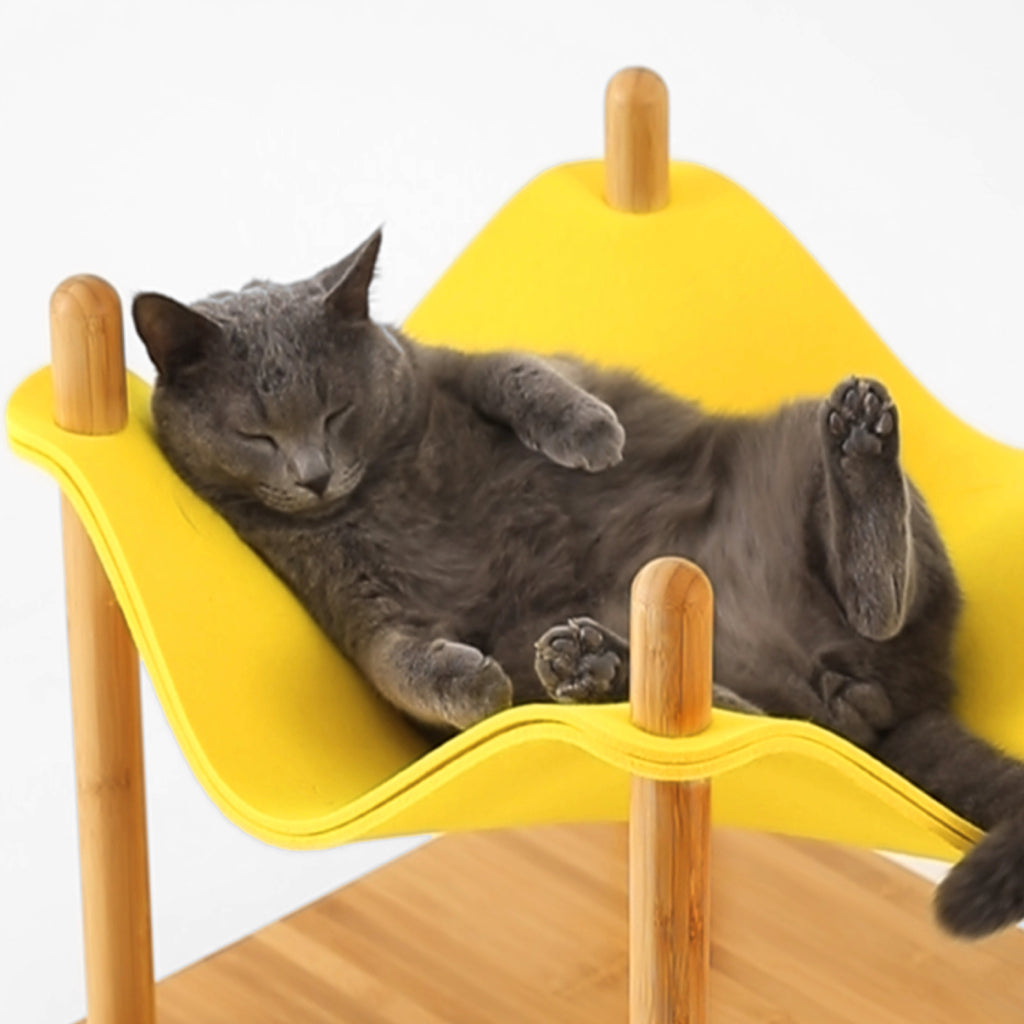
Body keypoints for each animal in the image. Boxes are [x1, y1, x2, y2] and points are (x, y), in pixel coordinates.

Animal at [134, 228, 1024, 937]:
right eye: (255, 434)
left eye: (338, 411)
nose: (314, 476)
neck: (383, 490)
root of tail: (902, 699)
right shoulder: (349, 603)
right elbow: (397, 665)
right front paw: (473, 686)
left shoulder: (443, 366)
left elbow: (517, 372)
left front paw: (590, 433)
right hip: (764, 689)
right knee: (762, 720)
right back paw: (597, 667)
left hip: (791, 445)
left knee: (864, 619)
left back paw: (861, 456)